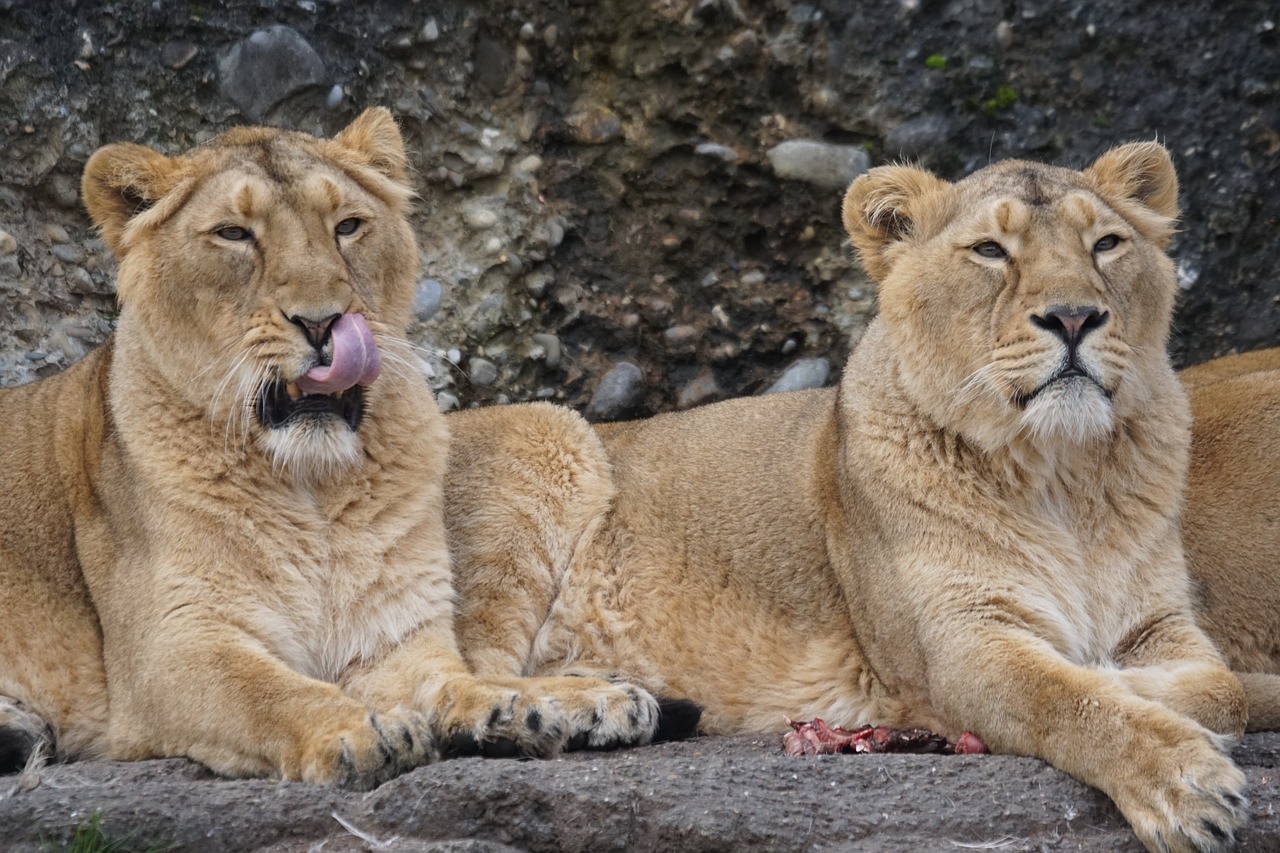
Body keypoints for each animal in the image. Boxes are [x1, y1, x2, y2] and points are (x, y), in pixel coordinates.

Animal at [0, 109, 660, 788]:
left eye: (347, 226)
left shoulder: (393, 632)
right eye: (234, 234)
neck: (312, 486)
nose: (321, 322)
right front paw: (361, 730)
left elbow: (457, 681)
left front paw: (555, 701)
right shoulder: (167, 648)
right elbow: (269, 692)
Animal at [448, 142, 1259, 845]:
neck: (1061, 473)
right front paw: (1184, 780)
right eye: (990, 252)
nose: (1073, 316)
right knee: (441, 689)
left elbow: (1223, 688)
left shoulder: (1159, 621)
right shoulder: (958, 643)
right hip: (544, 435)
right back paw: (588, 706)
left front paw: (1137, 683)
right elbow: (1070, 699)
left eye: (1108, 244)